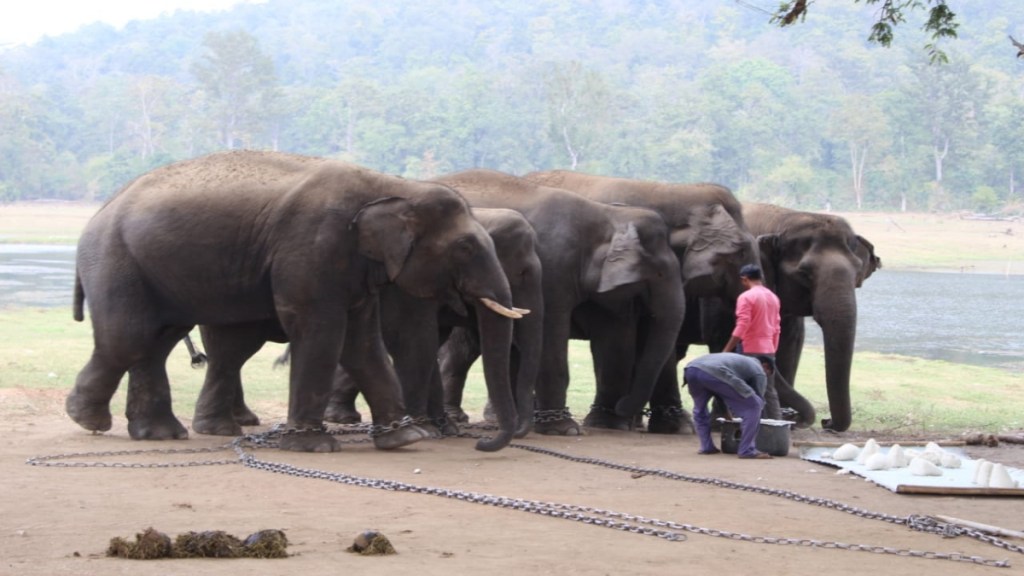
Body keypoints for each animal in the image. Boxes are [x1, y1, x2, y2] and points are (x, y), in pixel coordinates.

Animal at [192, 206, 544, 438]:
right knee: (230, 351)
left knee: (230, 352)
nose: (519, 432)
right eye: (523, 272)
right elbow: (414, 339)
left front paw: (441, 428)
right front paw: (433, 429)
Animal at [434, 168, 688, 432]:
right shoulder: (553, 267)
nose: (628, 410)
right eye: (660, 273)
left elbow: (613, 339)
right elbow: (550, 334)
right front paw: (563, 428)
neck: (604, 214)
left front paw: (607, 424)